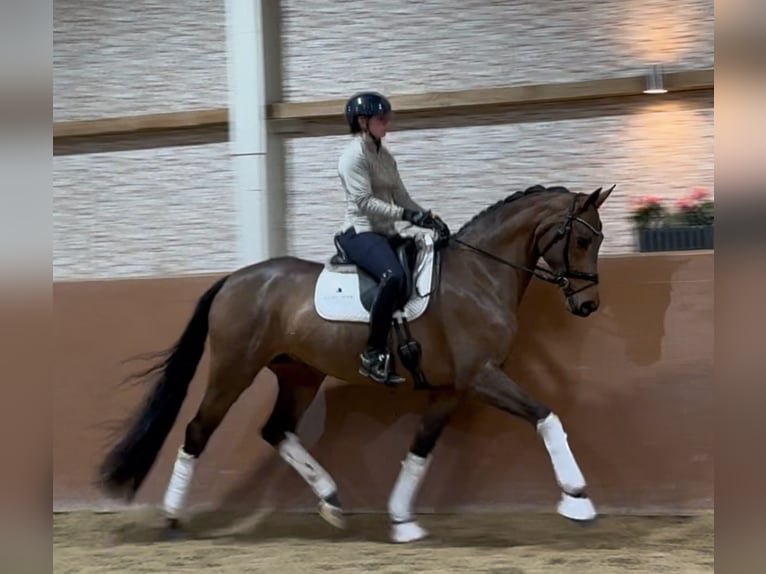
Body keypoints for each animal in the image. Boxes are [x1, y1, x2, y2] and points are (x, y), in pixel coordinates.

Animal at [99, 183, 616, 544]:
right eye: (582, 240)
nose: (588, 305)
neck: (480, 275)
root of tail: (234, 279)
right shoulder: (481, 375)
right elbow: (546, 416)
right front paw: (578, 500)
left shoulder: (450, 389)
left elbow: (419, 450)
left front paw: (403, 522)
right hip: (233, 371)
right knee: (197, 432)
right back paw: (172, 518)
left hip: (300, 374)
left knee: (276, 430)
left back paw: (330, 500)